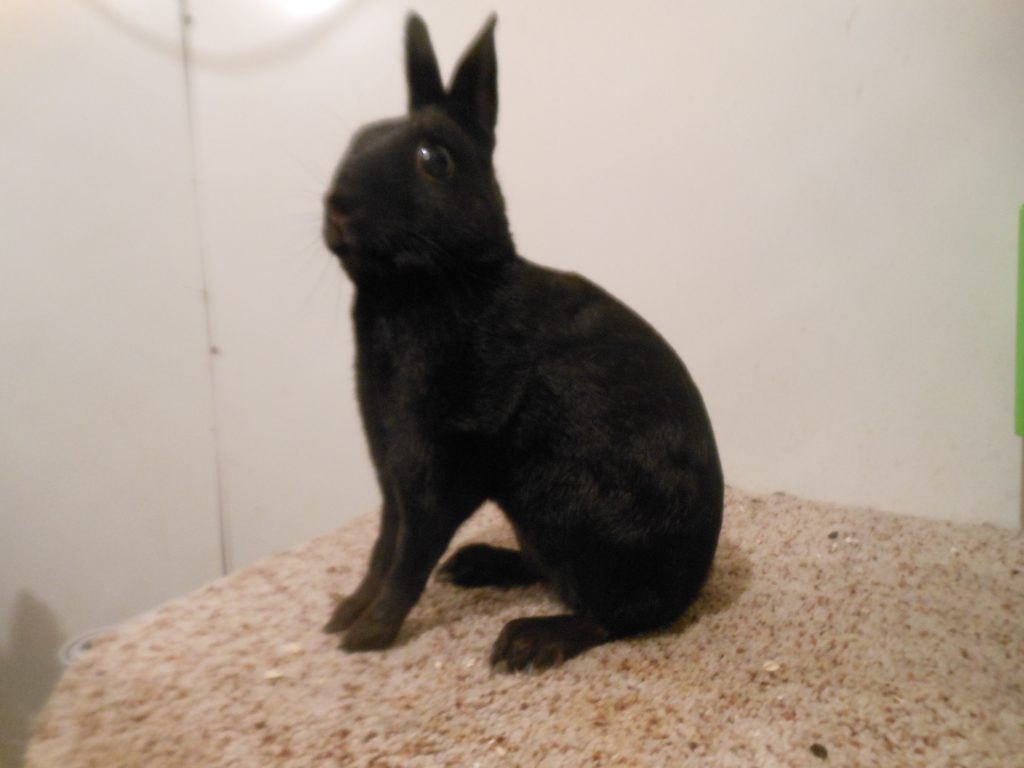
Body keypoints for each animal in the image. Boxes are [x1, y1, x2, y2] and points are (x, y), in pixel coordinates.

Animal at [321, 12, 723, 672]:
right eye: (357, 137)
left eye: (434, 159)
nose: (338, 209)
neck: (427, 287)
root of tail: (694, 581)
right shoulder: (392, 474)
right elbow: (384, 545)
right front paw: (345, 615)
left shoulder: (440, 470)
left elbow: (408, 556)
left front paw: (368, 634)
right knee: (550, 573)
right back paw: (476, 565)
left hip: (591, 529)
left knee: (612, 615)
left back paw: (527, 640)